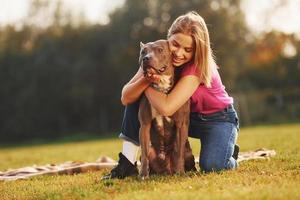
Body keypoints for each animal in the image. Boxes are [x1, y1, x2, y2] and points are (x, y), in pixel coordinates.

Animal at [138, 39, 196, 179]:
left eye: (160, 50)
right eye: (143, 52)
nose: (146, 58)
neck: (162, 87)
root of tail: (167, 169)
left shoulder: (181, 124)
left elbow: (179, 152)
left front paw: (180, 172)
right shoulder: (144, 125)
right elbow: (144, 154)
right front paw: (143, 175)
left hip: (188, 153)